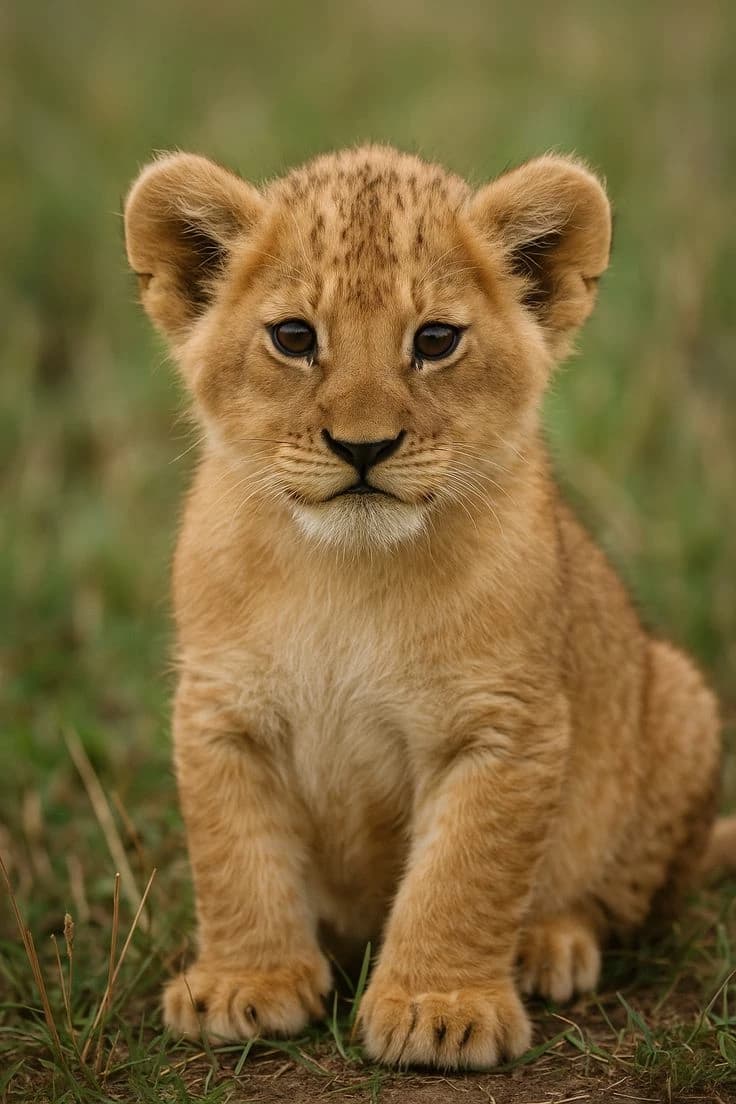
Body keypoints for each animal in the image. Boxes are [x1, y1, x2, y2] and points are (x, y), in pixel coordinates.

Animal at [124, 145, 732, 1068]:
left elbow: (462, 876)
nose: (363, 447)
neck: (347, 572)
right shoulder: (221, 710)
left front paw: (439, 1008)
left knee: (610, 901)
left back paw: (549, 943)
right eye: (294, 338)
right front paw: (246, 984)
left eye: (435, 341)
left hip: (678, 703)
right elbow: (236, 859)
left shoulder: (504, 724)